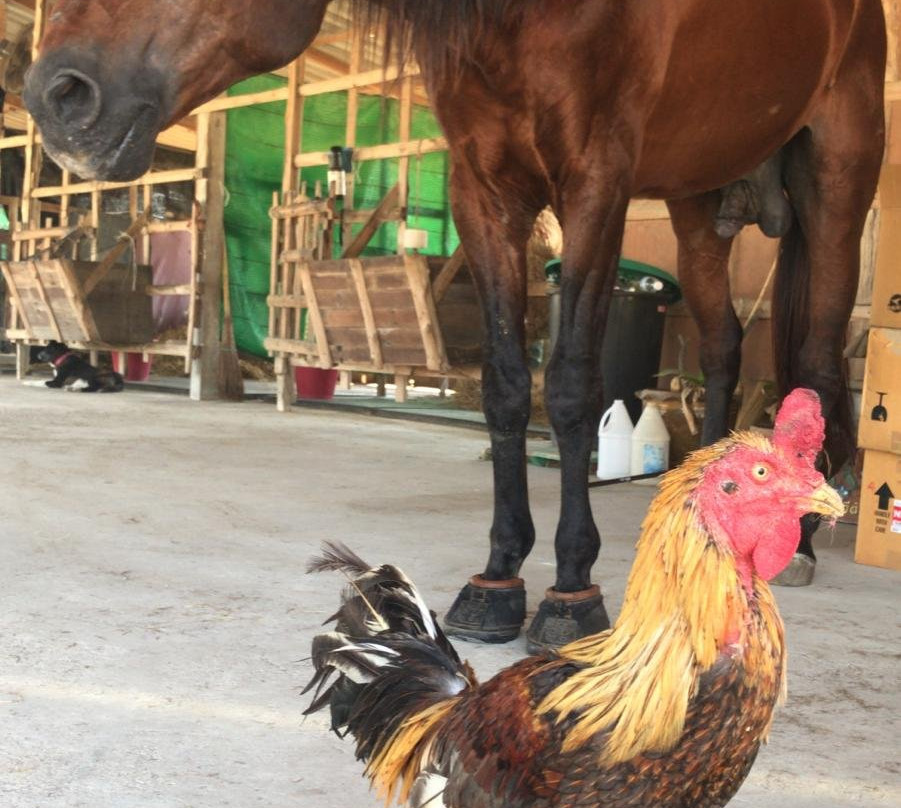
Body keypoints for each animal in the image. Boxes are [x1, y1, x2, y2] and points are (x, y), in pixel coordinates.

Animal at [24, 0, 886, 651]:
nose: (55, 95)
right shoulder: (485, 187)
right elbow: (505, 385)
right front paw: (498, 578)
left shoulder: (594, 181)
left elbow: (567, 385)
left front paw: (570, 590)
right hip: (697, 197)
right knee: (721, 347)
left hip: (836, 179)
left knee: (813, 357)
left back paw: (802, 544)